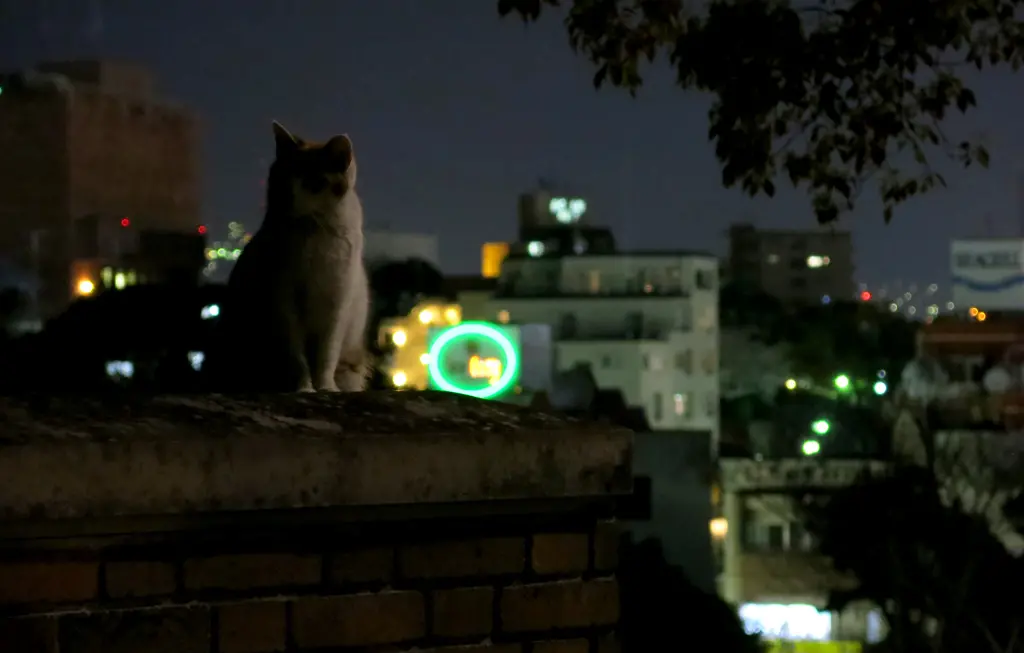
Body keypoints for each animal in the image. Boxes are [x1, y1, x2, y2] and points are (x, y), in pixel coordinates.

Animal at [201, 121, 370, 393]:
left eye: (313, 182)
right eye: (281, 178)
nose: (287, 197)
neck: (311, 233)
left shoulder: (337, 303)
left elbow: (327, 354)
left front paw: (326, 388)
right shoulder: (283, 303)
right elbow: (296, 357)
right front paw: (304, 389)